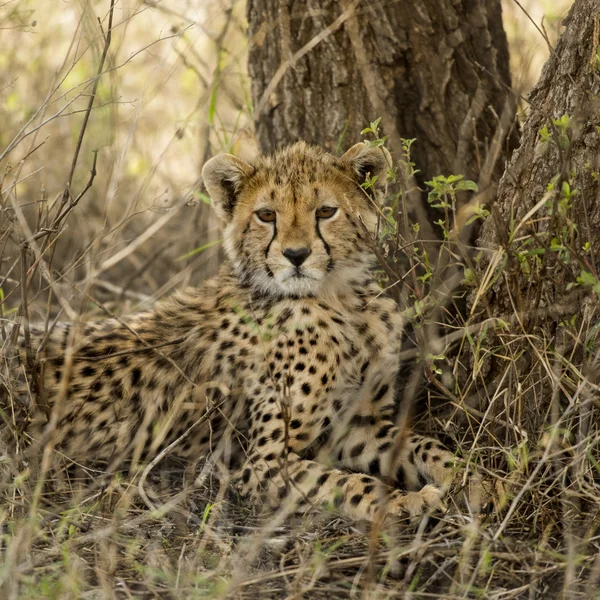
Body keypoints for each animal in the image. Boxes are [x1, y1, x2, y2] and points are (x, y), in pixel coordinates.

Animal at [2, 143, 466, 524]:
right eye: (266, 215)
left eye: (325, 212)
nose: (296, 255)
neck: (339, 300)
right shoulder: (263, 467)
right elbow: (347, 483)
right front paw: (406, 501)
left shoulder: (356, 424)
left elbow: (419, 444)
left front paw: (468, 476)